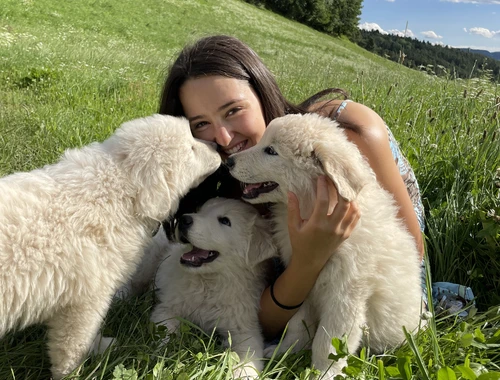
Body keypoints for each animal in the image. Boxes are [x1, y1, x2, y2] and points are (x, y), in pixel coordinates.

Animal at [0, 114, 221, 378]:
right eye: (191, 148)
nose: (218, 146)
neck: (119, 184)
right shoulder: (85, 301)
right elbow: (73, 346)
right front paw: (74, 373)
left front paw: (100, 346)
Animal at [150, 197, 276, 378]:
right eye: (200, 210)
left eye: (225, 221)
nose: (184, 219)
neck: (209, 283)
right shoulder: (167, 308)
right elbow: (165, 331)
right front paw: (164, 354)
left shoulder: (244, 327)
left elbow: (248, 353)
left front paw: (243, 373)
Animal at [227, 113, 422, 380]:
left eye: (271, 151)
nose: (228, 161)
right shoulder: (304, 280)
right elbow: (298, 325)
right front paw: (284, 351)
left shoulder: (344, 295)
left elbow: (328, 342)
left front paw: (323, 373)